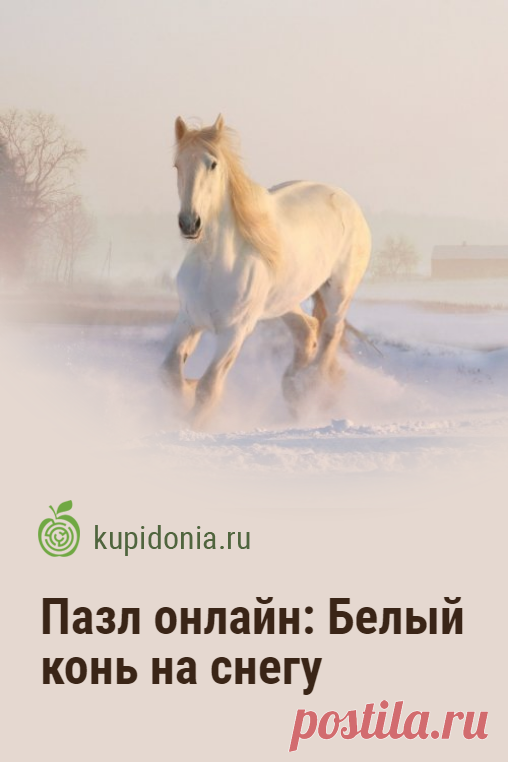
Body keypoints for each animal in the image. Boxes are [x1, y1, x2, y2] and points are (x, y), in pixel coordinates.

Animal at [162, 114, 371, 427]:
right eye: (178, 165)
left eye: (213, 164)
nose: (190, 223)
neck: (215, 265)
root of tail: (346, 200)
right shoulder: (188, 320)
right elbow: (170, 374)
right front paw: (185, 394)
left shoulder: (235, 331)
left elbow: (209, 387)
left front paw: (192, 423)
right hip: (284, 301)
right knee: (307, 330)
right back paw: (293, 390)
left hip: (338, 292)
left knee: (330, 333)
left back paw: (310, 389)